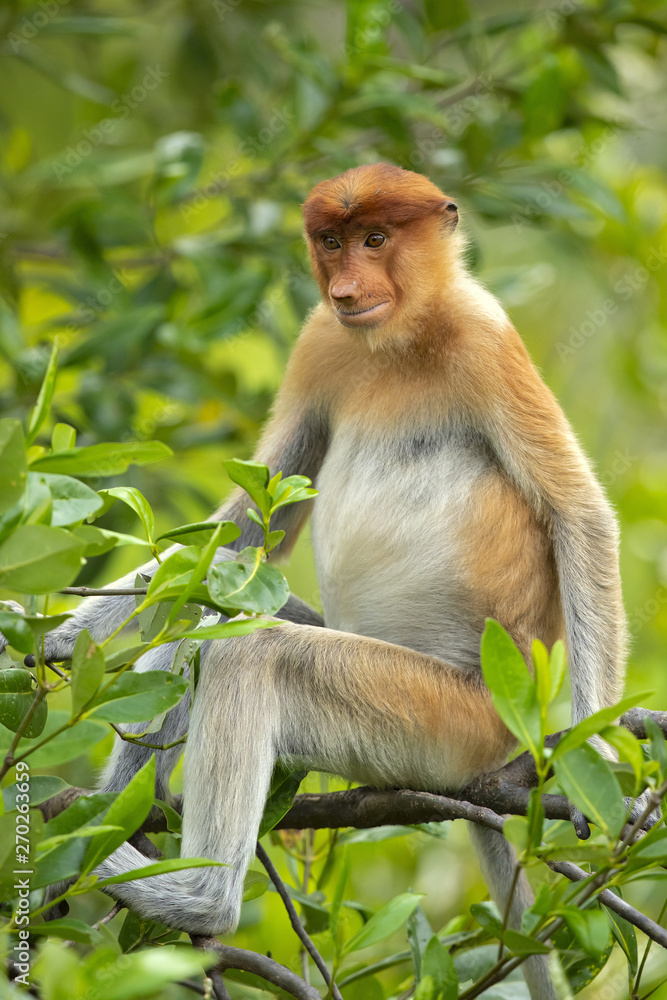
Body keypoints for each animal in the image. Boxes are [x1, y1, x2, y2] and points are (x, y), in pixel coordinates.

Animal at [3, 164, 627, 1000]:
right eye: (331, 241)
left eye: (377, 238)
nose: (346, 288)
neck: (401, 339)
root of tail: (498, 743)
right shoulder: (319, 339)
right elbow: (249, 514)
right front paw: (60, 636)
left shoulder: (485, 337)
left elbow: (576, 514)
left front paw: (598, 759)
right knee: (212, 614)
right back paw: (108, 820)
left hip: (439, 723)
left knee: (254, 652)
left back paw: (191, 895)